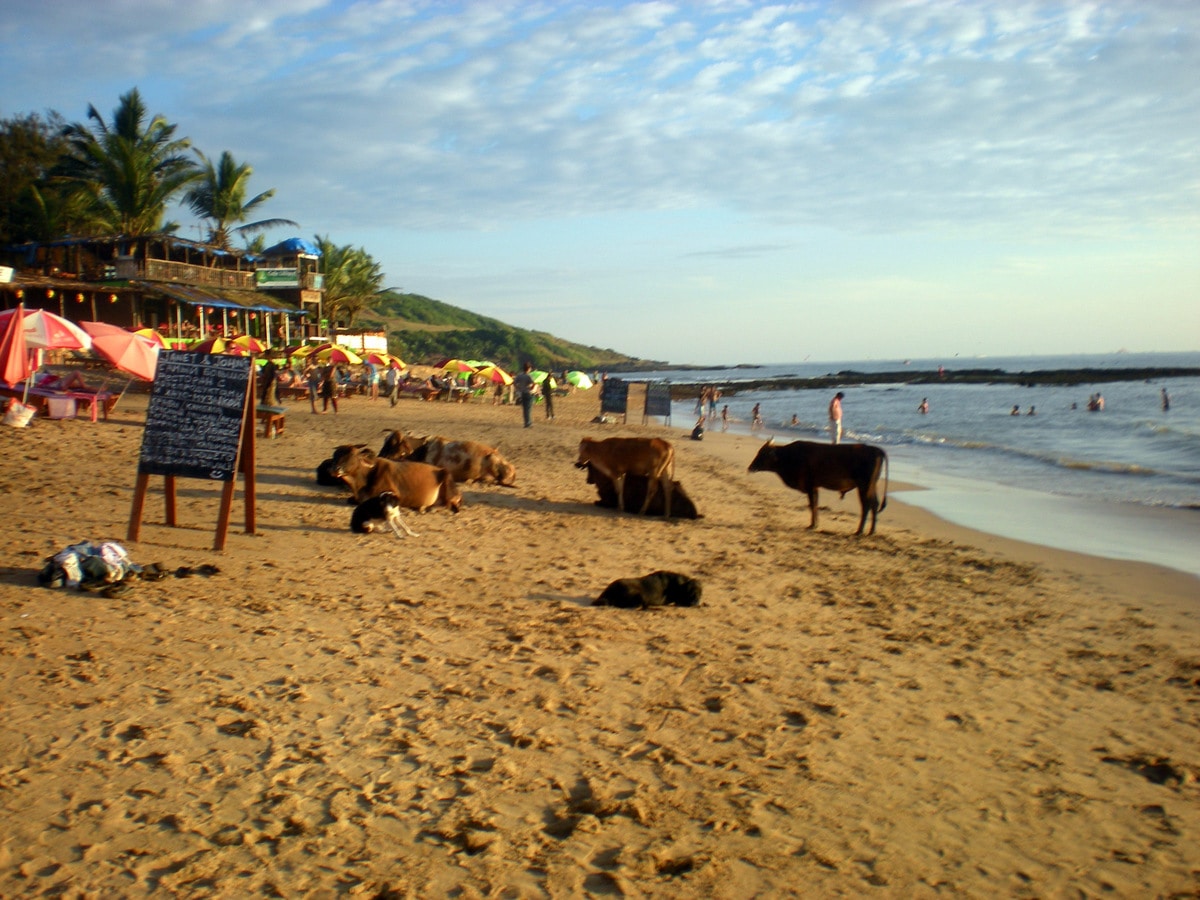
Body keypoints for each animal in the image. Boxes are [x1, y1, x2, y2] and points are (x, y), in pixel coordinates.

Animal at [744, 441, 888, 540]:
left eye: (762, 454)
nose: (750, 467)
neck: (787, 457)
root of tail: (876, 450)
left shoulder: (810, 487)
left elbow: (812, 505)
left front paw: (812, 525)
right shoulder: (814, 487)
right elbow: (815, 505)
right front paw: (815, 524)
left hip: (864, 486)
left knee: (866, 506)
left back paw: (859, 531)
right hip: (871, 487)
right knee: (874, 504)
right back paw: (871, 531)